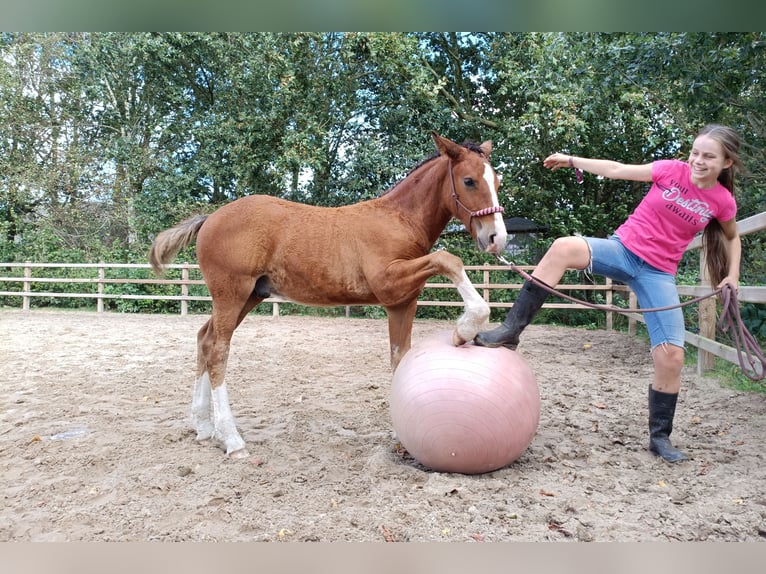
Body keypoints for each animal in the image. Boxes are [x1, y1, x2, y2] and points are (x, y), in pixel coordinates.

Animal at [149, 132, 508, 458]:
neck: (399, 221)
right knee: (218, 350)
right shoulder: (388, 281)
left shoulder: (402, 302)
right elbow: (448, 259)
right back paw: (231, 439)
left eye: (497, 181)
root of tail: (211, 217)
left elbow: (399, 359)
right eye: (469, 181)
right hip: (231, 294)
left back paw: (203, 426)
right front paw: (466, 327)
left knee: (204, 339)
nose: (497, 239)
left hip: (249, 296)